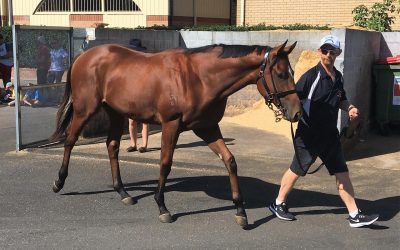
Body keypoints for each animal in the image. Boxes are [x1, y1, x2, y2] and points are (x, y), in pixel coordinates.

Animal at [50, 40, 300, 227]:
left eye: (292, 72)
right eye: (280, 74)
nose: (297, 112)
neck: (199, 77)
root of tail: (84, 55)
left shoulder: (207, 128)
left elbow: (230, 160)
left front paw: (240, 210)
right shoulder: (171, 125)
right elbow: (165, 163)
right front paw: (162, 206)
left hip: (116, 113)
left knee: (112, 146)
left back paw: (123, 192)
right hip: (85, 110)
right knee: (70, 140)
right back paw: (59, 182)